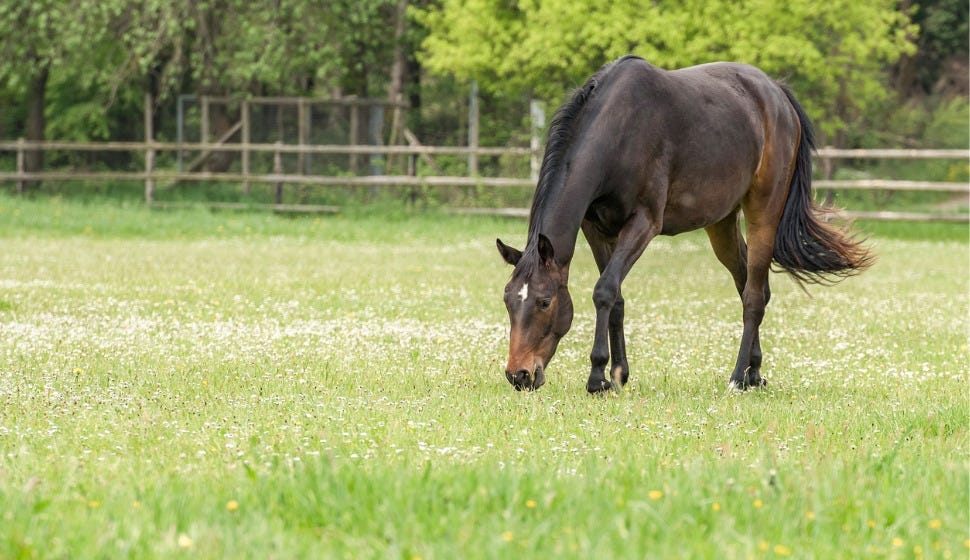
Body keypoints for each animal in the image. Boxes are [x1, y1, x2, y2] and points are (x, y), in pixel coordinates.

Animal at [500, 54, 868, 392]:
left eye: (544, 301)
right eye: (507, 300)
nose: (519, 375)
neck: (619, 131)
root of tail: (776, 92)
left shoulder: (644, 224)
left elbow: (604, 290)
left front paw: (597, 376)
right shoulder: (595, 229)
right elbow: (616, 297)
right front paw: (618, 374)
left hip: (764, 212)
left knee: (753, 297)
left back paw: (737, 378)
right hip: (721, 224)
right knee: (751, 286)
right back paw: (754, 373)